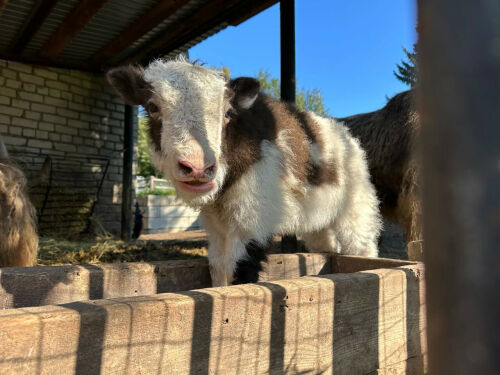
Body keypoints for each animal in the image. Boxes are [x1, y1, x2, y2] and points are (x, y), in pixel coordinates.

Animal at [107, 58, 380, 286]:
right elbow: (218, 268)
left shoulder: (254, 214)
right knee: (326, 244)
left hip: (357, 206)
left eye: (228, 113)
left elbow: (240, 269)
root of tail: (347, 136)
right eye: (152, 107)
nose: (197, 167)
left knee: (362, 247)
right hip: (318, 216)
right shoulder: (216, 223)